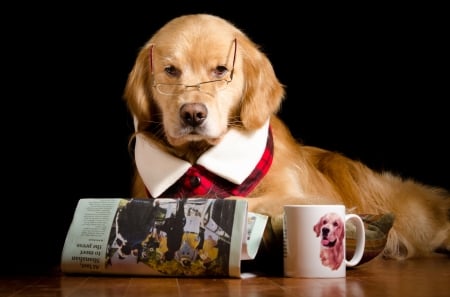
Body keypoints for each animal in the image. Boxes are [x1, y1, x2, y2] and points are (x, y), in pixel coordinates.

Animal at [121, 13, 448, 272]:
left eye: (221, 70)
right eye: (170, 70)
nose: (192, 114)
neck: (199, 159)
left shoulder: (301, 194)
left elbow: (252, 201)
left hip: (406, 211)